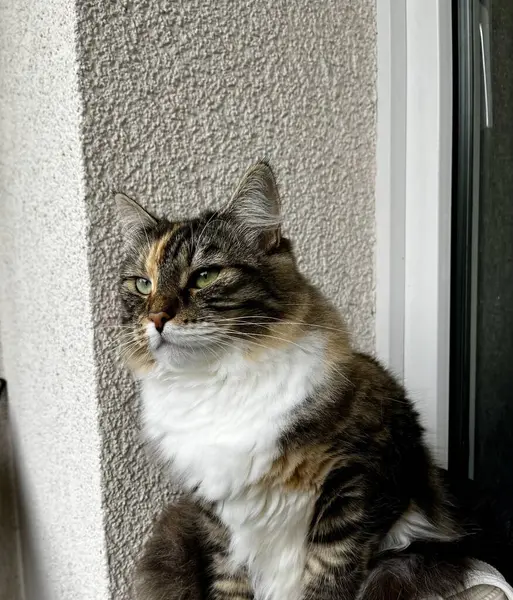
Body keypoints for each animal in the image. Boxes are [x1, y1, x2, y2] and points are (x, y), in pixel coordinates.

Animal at [117, 163, 508, 600]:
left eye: (205, 276)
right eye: (142, 284)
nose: (156, 318)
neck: (213, 383)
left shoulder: (357, 486)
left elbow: (329, 575)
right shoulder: (215, 520)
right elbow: (230, 583)